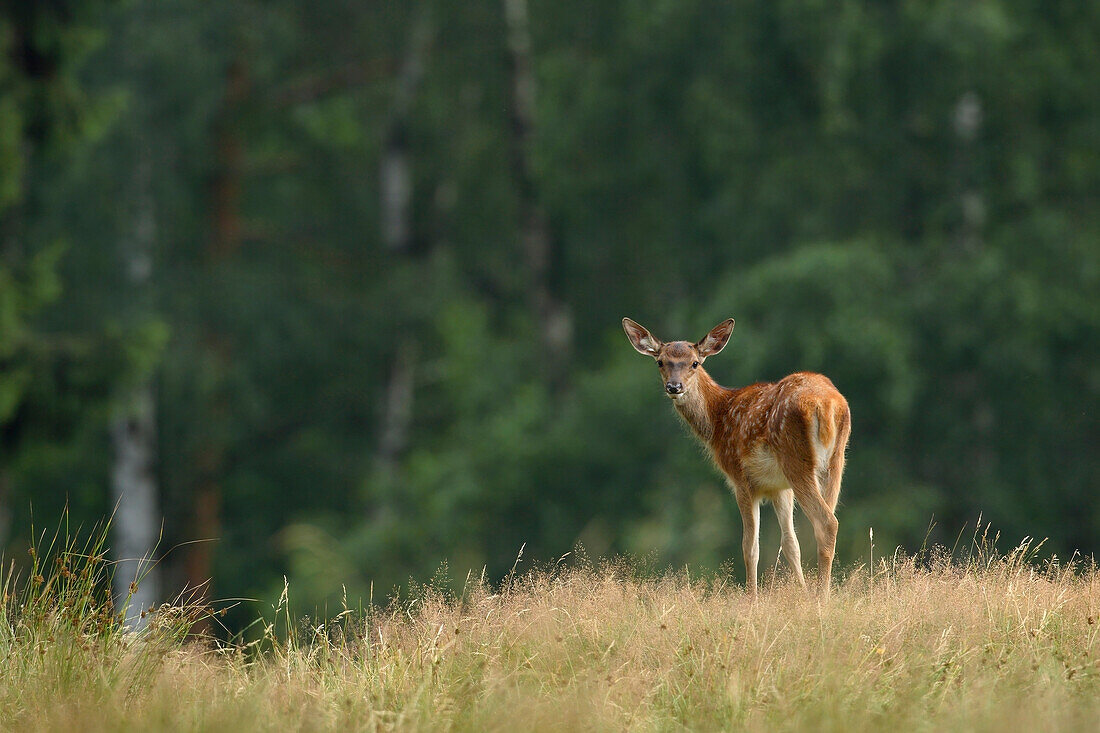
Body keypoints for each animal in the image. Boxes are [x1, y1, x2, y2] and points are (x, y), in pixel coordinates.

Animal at [620, 316, 849, 598]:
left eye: (694, 362)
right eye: (660, 361)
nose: (674, 386)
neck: (719, 418)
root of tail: (826, 406)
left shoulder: (740, 478)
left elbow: (750, 546)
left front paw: (753, 599)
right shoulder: (779, 487)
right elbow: (790, 543)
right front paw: (801, 592)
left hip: (797, 461)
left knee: (826, 523)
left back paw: (822, 597)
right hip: (835, 461)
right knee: (829, 519)